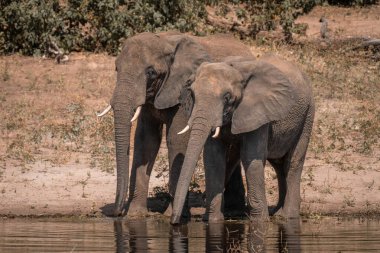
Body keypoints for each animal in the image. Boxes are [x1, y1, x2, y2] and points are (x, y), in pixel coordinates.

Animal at [97, 31, 255, 216]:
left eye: (151, 72)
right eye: (116, 68)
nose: (116, 212)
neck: (164, 41)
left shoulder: (182, 92)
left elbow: (176, 140)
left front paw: (169, 215)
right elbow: (146, 140)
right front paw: (135, 215)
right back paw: (234, 210)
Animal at [171, 53, 314, 223]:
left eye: (227, 97)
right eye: (192, 94)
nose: (174, 222)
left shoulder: (259, 112)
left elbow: (250, 156)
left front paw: (260, 222)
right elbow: (213, 158)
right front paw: (213, 220)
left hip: (308, 114)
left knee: (292, 163)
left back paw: (288, 217)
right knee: (278, 165)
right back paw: (278, 213)